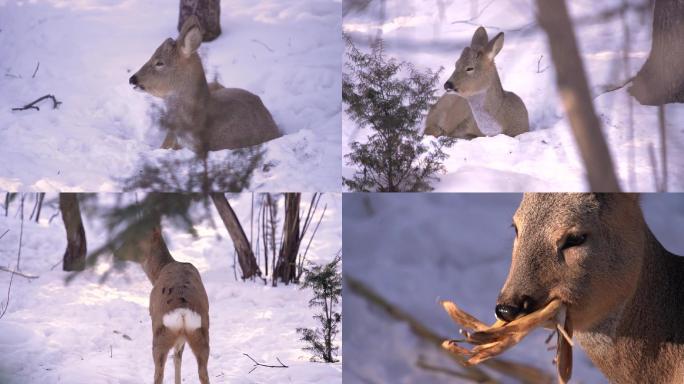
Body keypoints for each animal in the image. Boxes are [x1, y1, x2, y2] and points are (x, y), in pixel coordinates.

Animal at [126, 225, 210, 384]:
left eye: (136, 236)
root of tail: (183, 313)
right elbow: (177, 357)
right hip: (200, 335)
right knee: (201, 372)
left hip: (160, 336)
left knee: (159, 373)